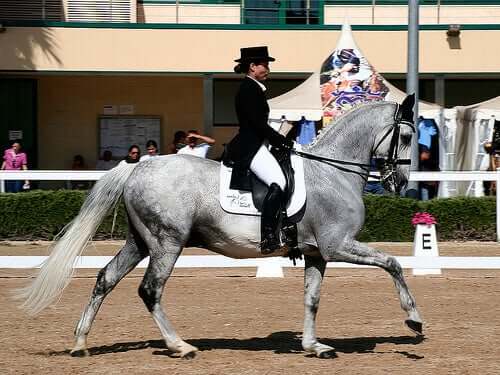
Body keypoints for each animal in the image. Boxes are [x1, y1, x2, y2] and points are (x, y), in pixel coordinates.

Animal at [16, 97, 422, 362]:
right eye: (405, 138)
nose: (401, 183)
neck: (332, 172)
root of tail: (138, 167)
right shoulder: (338, 245)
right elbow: (393, 264)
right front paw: (414, 320)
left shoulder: (317, 253)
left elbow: (312, 299)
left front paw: (314, 347)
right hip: (167, 242)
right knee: (150, 290)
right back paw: (180, 346)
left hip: (140, 242)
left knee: (106, 279)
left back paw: (80, 343)